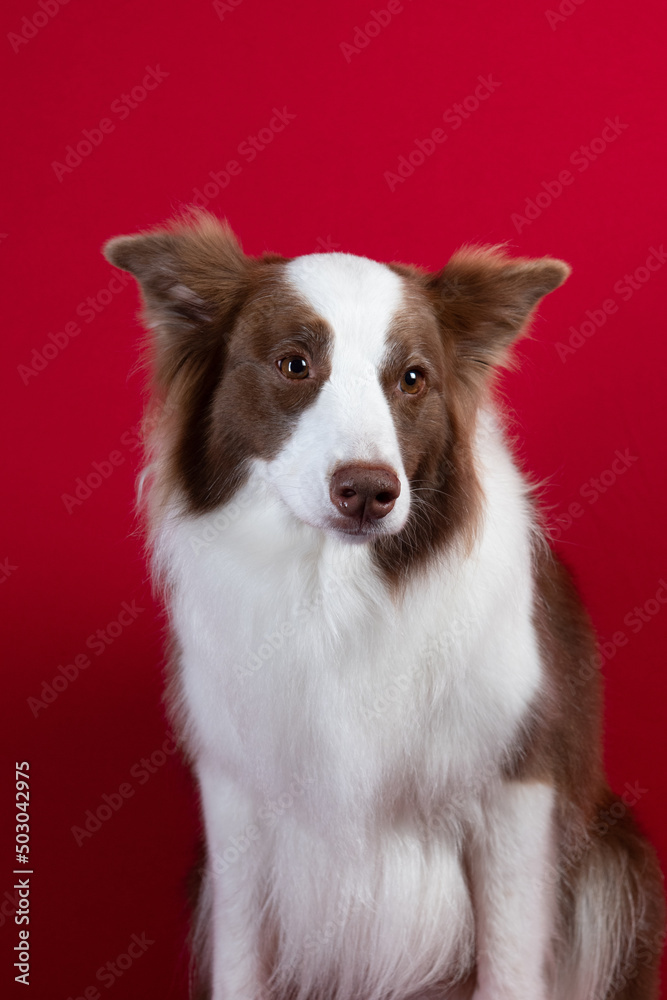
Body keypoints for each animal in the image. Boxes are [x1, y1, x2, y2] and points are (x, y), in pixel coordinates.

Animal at [104, 213, 664, 1000]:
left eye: (412, 378)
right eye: (294, 364)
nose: (369, 492)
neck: (335, 590)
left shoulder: (517, 786)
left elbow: (509, 965)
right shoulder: (234, 786)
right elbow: (241, 960)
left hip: (616, 864)